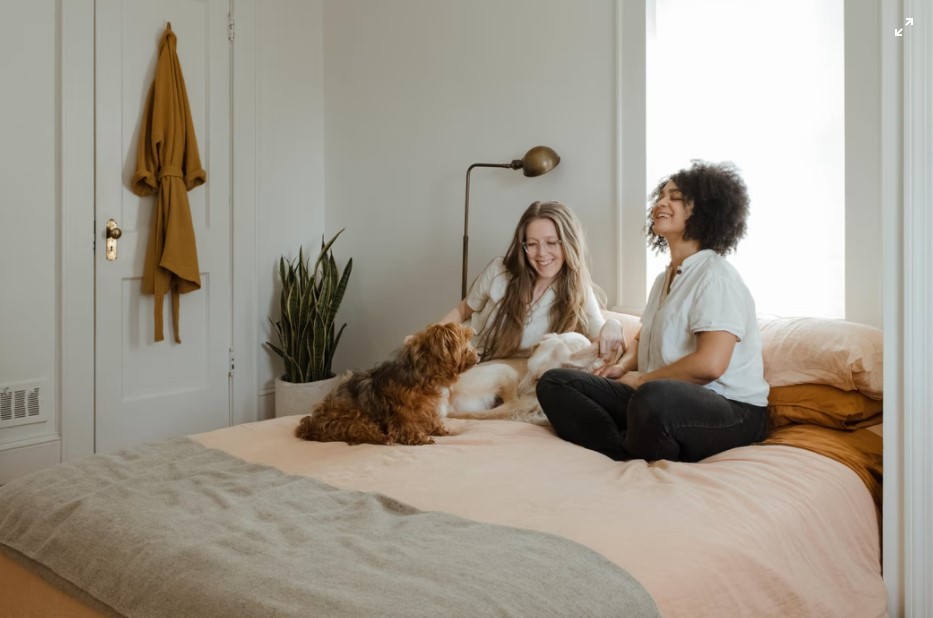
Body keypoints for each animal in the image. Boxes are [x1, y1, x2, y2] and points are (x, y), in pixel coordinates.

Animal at [294, 322, 476, 442]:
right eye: (465, 342)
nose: (478, 353)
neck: (424, 375)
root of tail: (311, 424)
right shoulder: (403, 409)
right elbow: (407, 423)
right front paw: (418, 437)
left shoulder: (427, 407)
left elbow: (431, 418)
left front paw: (439, 430)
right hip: (352, 417)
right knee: (359, 430)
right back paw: (381, 436)